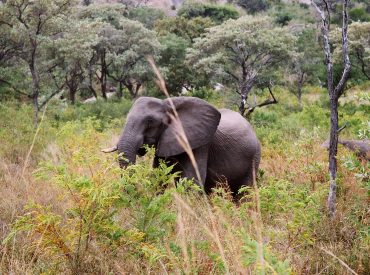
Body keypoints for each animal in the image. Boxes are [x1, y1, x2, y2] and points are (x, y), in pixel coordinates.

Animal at [102, 97, 262, 196]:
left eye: (149, 122)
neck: (168, 105)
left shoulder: (200, 144)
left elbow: (192, 180)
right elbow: (158, 176)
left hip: (254, 156)